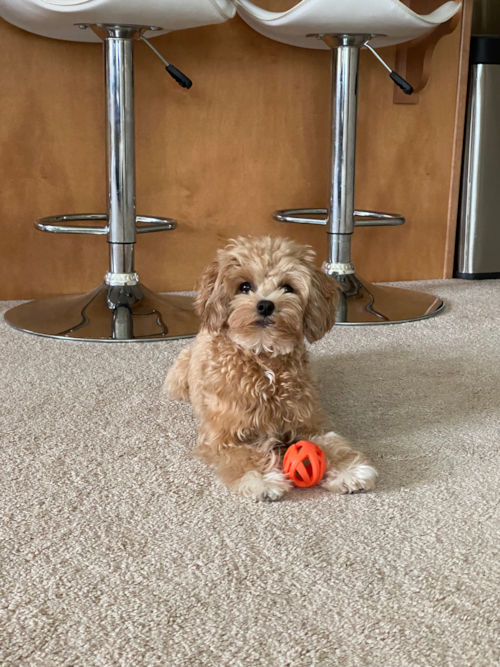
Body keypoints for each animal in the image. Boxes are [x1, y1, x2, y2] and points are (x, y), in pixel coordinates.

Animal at [166, 237, 376, 504]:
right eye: (245, 286)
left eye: (287, 287)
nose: (265, 305)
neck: (264, 359)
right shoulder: (221, 436)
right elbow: (244, 456)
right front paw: (260, 479)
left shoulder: (310, 423)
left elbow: (333, 444)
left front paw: (349, 470)